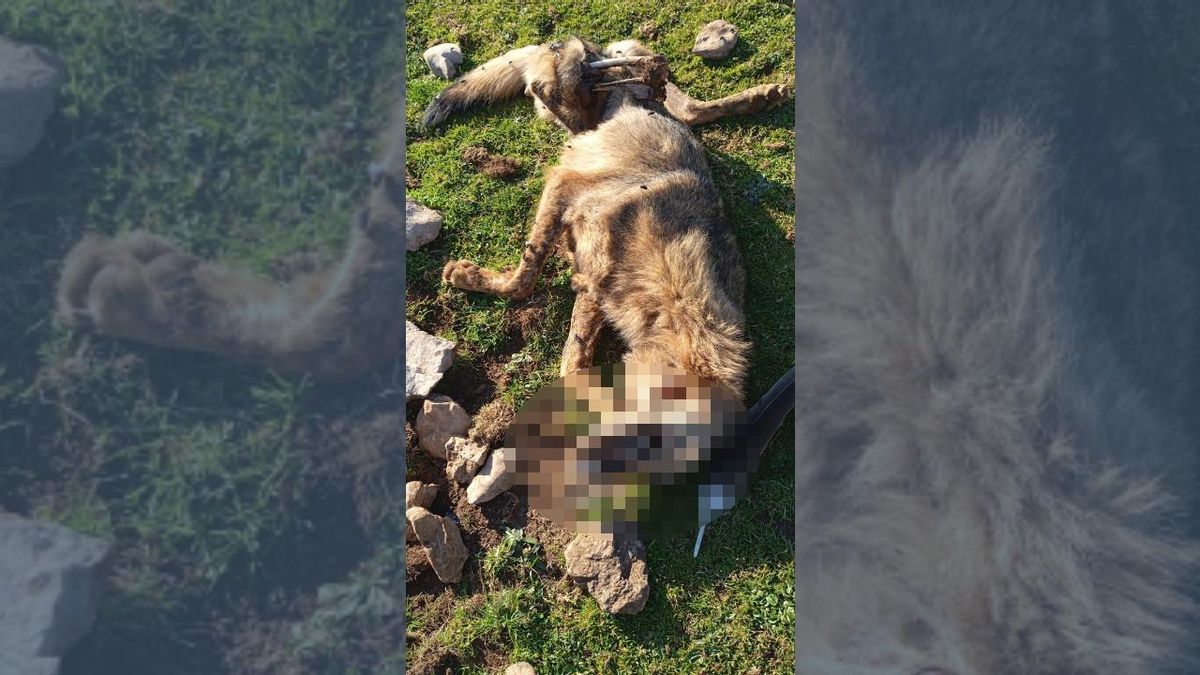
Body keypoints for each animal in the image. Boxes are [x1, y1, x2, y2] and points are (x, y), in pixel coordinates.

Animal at [424, 36, 791, 399]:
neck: (674, 302)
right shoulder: (564, 187)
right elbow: (524, 278)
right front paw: (471, 277)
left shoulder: (593, 284)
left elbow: (573, 356)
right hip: (626, 68)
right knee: (658, 97)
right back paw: (571, 68)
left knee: (680, 108)